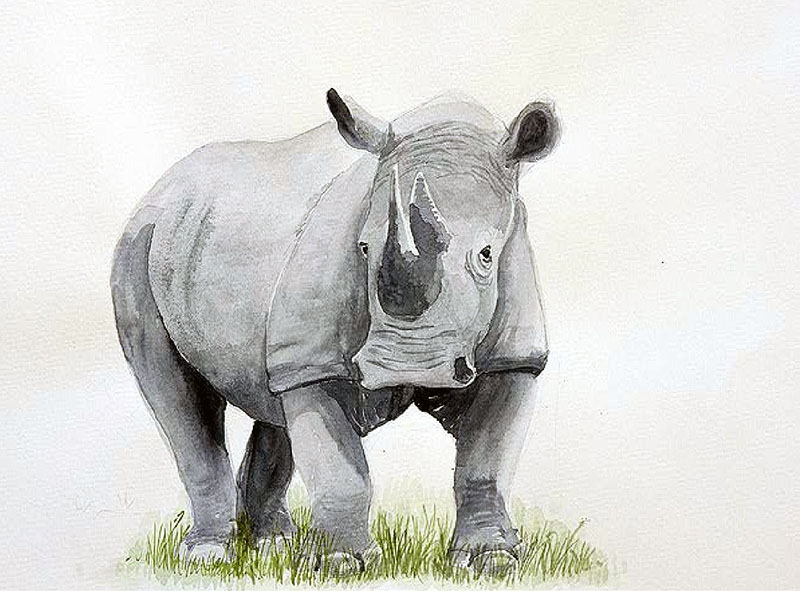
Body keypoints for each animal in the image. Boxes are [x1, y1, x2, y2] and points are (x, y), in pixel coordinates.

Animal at [111, 89, 559, 571]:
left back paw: (274, 546)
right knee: (180, 398)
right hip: (138, 246)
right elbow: (340, 471)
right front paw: (342, 563)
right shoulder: (313, 357)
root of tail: (163, 186)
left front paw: (490, 561)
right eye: (363, 248)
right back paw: (208, 557)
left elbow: (485, 463)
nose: (407, 366)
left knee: (271, 401)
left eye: (487, 255)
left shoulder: (515, 355)